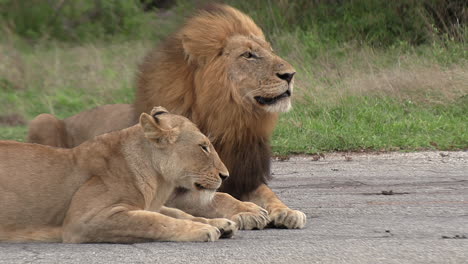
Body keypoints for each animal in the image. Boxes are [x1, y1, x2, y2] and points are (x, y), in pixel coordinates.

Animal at [0, 106, 241, 241]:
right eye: (203, 146)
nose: (225, 175)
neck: (158, 181)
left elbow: (175, 212)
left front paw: (220, 223)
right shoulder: (85, 219)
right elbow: (155, 221)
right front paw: (204, 229)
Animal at [28, 4, 308, 229]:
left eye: (269, 50)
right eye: (248, 55)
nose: (291, 75)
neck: (228, 121)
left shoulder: (243, 176)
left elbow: (268, 194)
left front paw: (286, 212)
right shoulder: (172, 188)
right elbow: (217, 196)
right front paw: (247, 211)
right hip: (43, 119)